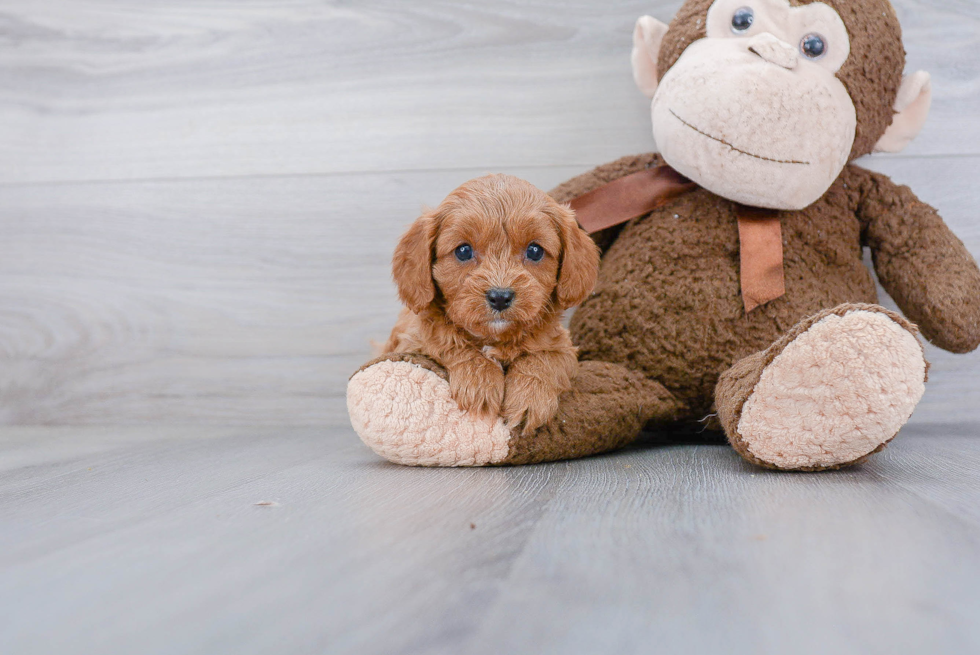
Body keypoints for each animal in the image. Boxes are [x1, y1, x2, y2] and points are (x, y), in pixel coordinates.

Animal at [384, 173, 600, 436]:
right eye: (463, 251)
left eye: (535, 251)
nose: (500, 297)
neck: (494, 339)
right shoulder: (411, 341)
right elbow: (447, 342)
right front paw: (480, 383)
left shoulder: (563, 347)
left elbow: (545, 358)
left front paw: (529, 397)